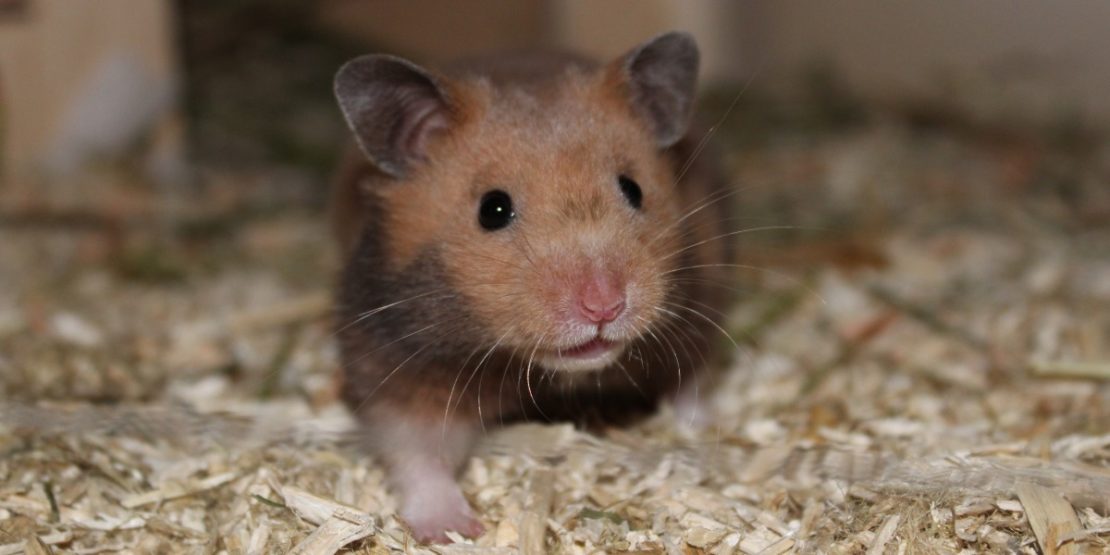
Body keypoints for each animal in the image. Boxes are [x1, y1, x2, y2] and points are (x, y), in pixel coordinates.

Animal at [331, 32, 734, 543]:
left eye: (633, 189)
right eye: (492, 209)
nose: (603, 306)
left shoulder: (699, 312)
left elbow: (691, 384)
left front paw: (703, 430)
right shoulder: (395, 367)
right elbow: (418, 454)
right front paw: (455, 531)